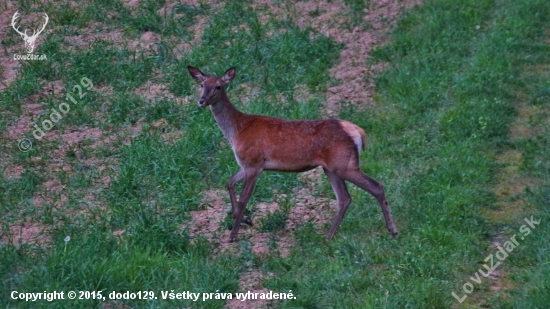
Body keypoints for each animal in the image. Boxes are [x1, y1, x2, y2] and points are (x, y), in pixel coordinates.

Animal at [188, 66, 398, 242]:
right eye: (201, 85)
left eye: (218, 86)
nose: (201, 101)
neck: (236, 131)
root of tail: (357, 131)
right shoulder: (246, 164)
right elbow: (229, 182)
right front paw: (247, 220)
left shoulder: (254, 163)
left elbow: (243, 199)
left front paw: (233, 235)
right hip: (331, 167)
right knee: (344, 198)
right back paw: (328, 235)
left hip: (344, 164)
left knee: (376, 186)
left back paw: (392, 230)